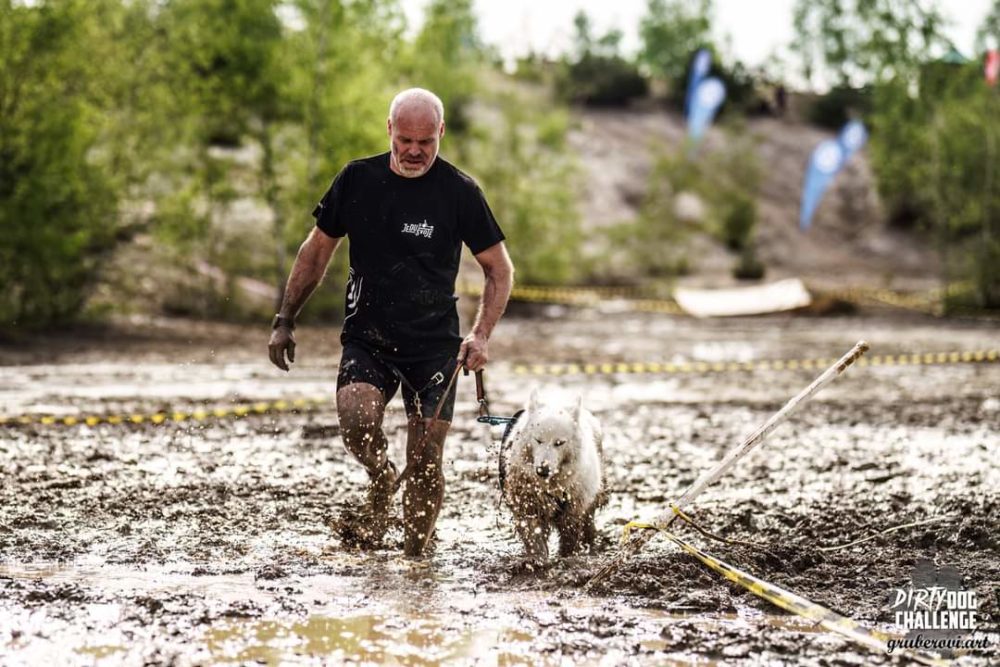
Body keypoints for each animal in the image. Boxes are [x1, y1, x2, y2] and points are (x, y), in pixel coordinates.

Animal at [504, 392, 604, 564]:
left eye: (559, 443)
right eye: (538, 440)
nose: (542, 470)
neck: (550, 485)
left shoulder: (573, 506)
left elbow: (569, 532)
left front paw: (566, 555)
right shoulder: (529, 502)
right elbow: (533, 533)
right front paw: (537, 559)